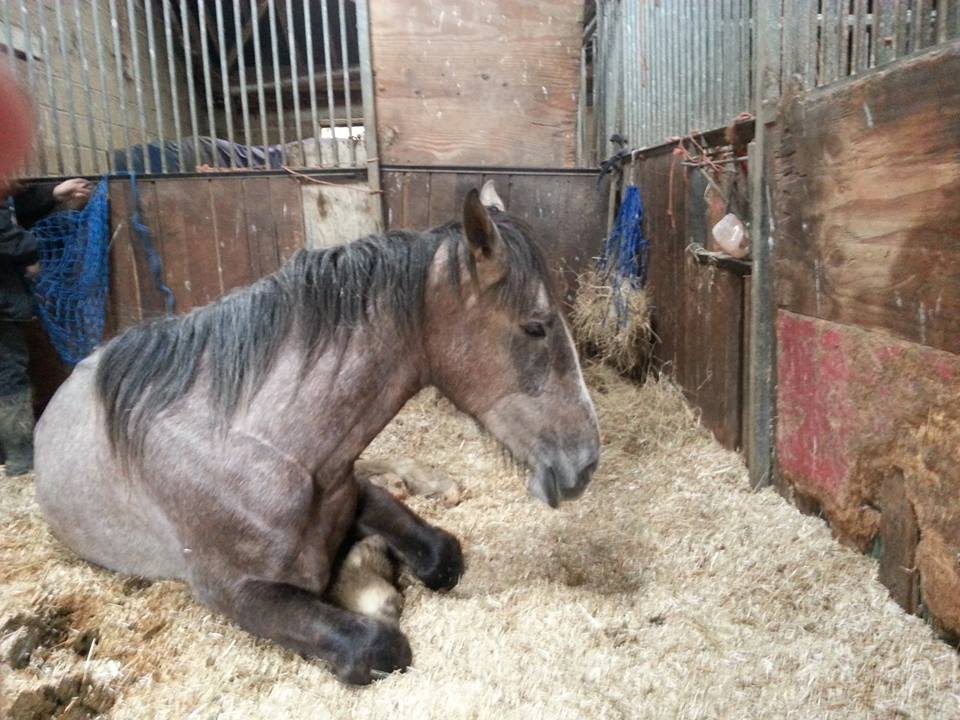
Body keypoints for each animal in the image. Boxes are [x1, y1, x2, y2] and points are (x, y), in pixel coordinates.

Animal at [33, 182, 601, 684]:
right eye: (535, 326)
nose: (586, 461)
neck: (265, 447)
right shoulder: (238, 593)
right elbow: (379, 645)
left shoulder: (355, 488)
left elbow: (441, 555)